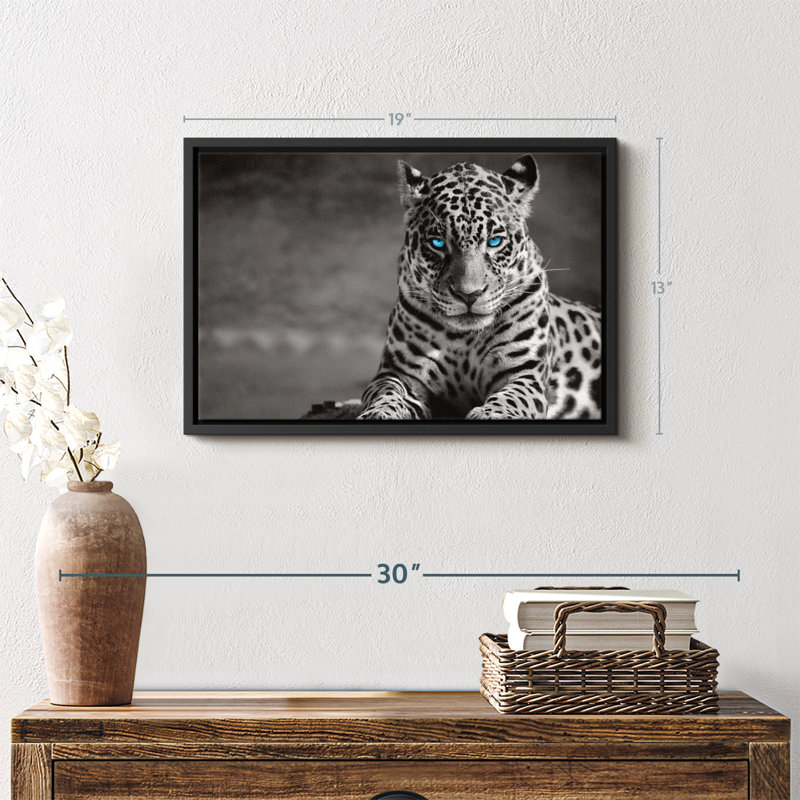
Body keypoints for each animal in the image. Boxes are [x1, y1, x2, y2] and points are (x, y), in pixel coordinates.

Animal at [357, 154, 602, 421]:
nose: (468, 294)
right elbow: (387, 394)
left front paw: (492, 414)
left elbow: (510, 399)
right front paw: (379, 413)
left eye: (494, 241)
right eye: (437, 243)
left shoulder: (524, 373)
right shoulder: (399, 372)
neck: (464, 339)